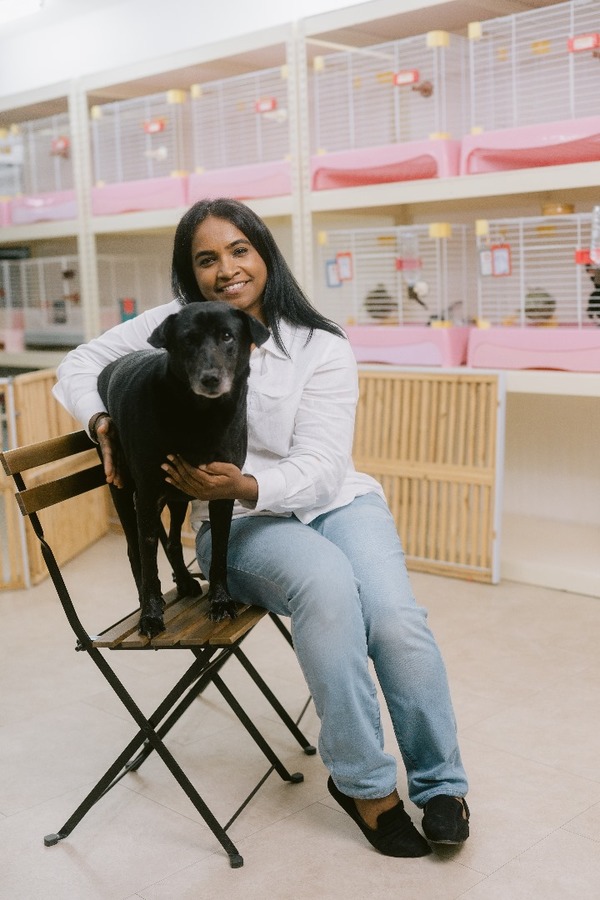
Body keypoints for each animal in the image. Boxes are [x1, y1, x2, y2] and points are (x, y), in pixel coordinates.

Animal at [98, 298, 270, 636]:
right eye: (188, 340)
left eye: (227, 336)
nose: (210, 378)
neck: (201, 414)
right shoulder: (147, 496)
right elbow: (149, 564)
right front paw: (151, 615)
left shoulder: (223, 492)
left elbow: (219, 555)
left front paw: (220, 601)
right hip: (124, 493)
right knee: (135, 550)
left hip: (176, 499)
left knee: (173, 541)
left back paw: (187, 580)